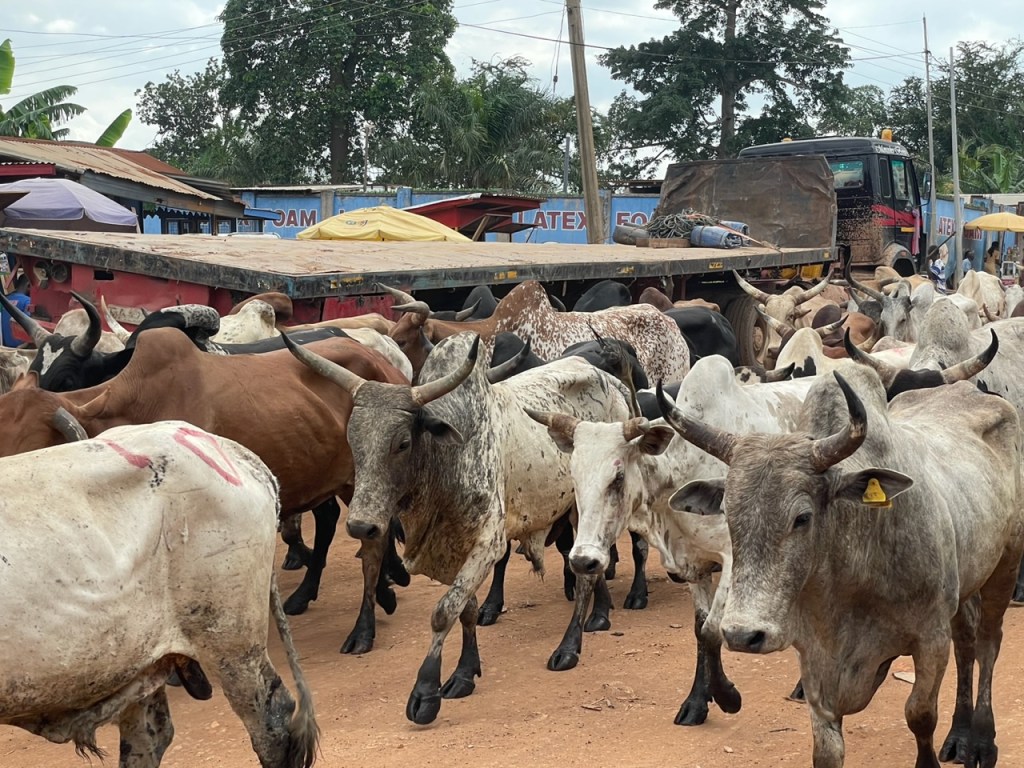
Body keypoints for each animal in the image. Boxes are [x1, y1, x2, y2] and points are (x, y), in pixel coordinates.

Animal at [280, 331, 635, 725]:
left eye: (403, 443)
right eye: (352, 440)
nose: (361, 525)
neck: (447, 460)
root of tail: (613, 383)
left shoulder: (488, 545)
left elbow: (443, 612)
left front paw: (425, 692)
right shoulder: (456, 549)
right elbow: (466, 608)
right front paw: (465, 673)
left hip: (583, 503)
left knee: (586, 573)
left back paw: (569, 646)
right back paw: (601, 613)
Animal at [530, 355, 817, 726]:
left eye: (618, 476)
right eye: (574, 477)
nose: (582, 561)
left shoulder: (733, 559)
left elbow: (712, 629)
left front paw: (726, 696)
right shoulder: (694, 565)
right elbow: (700, 629)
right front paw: (698, 701)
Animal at [663, 367, 1023, 768]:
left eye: (802, 517)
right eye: (727, 513)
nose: (743, 635)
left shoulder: (930, 638)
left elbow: (920, 715)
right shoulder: (815, 659)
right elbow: (827, 747)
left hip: (1006, 565)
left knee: (987, 645)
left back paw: (982, 741)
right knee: (966, 642)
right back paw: (959, 735)